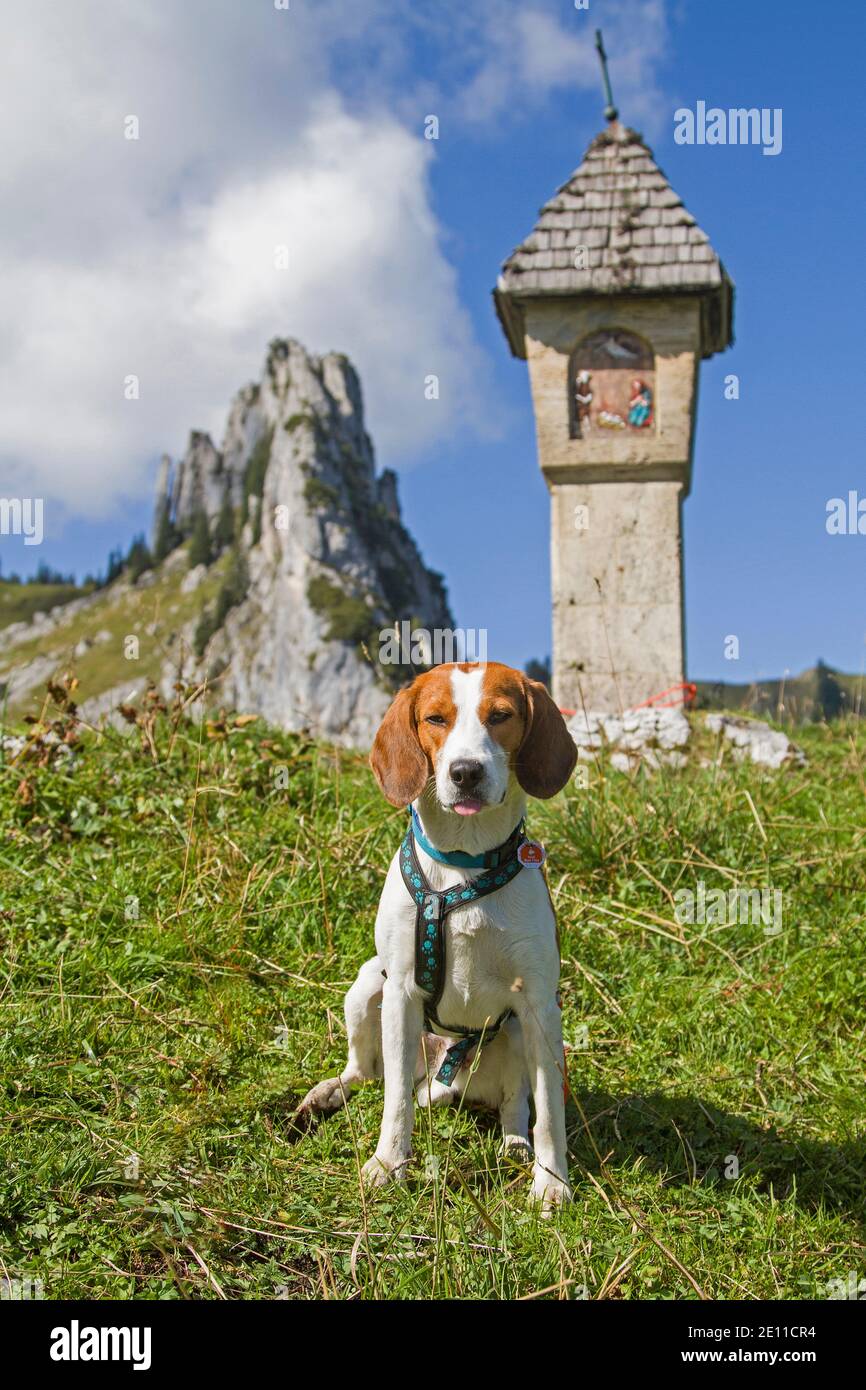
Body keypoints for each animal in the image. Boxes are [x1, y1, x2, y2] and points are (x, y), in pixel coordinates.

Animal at [294, 658, 578, 1206]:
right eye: (435, 719)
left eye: (501, 715)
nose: (465, 772)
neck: (465, 863)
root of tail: (446, 1072)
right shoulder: (401, 990)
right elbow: (394, 1102)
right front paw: (388, 1163)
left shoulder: (539, 1003)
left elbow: (550, 1112)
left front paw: (552, 1182)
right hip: (368, 985)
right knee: (368, 1073)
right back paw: (328, 1092)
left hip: (514, 1032)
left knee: (515, 1104)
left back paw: (516, 1145)